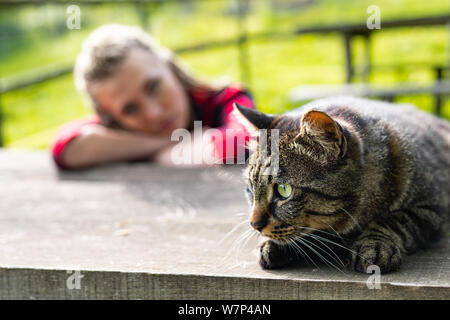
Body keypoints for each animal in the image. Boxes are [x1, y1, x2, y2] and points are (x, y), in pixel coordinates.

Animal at [234, 96, 448, 274]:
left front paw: (374, 245)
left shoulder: (432, 207)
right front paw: (271, 245)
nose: (254, 225)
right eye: (251, 189)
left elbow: (394, 220)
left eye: (284, 190)